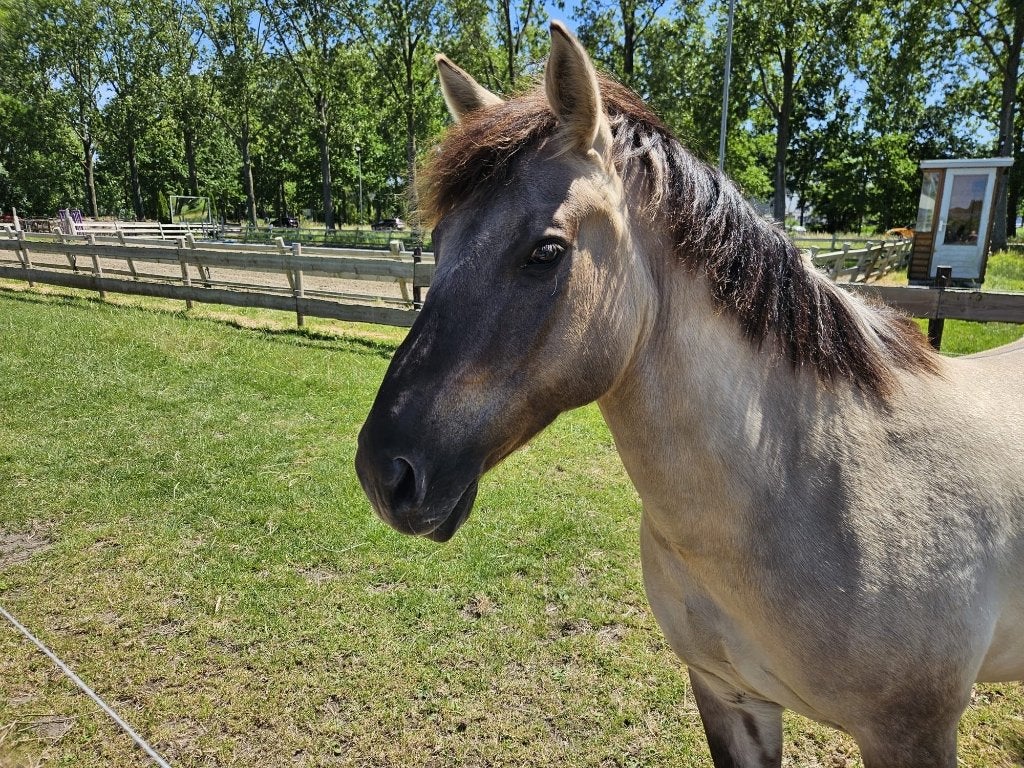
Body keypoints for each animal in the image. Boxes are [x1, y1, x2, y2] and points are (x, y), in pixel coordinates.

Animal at [355, 22, 1024, 768]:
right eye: (439, 242)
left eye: (546, 252)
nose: (384, 472)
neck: (810, 484)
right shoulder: (727, 696)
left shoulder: (912, 732)